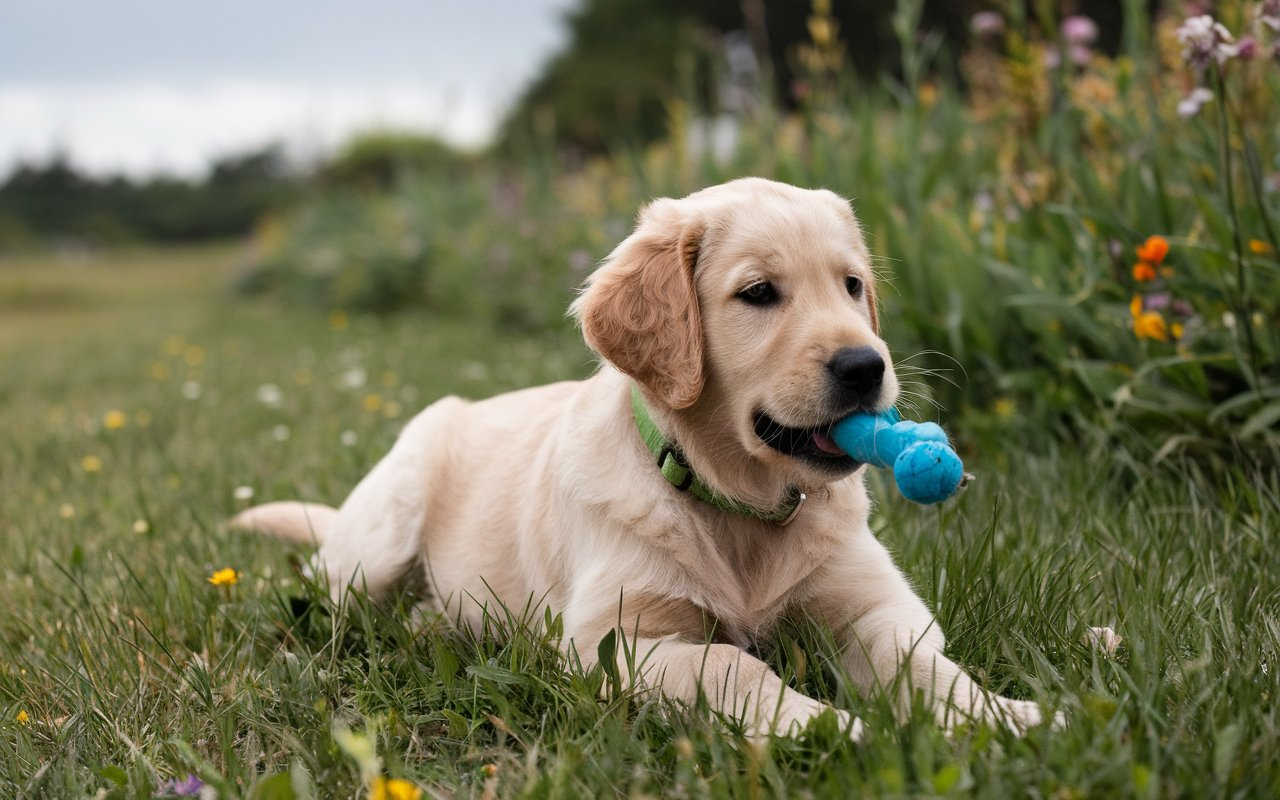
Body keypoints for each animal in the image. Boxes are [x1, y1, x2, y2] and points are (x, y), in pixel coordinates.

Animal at [238, 176, 1049, 737]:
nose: (865, 366)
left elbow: (921, 663)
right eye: (759, 293)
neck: (740, 505)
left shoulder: (874, 604)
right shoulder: (615, 639)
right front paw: (830, 726)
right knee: (324, 596)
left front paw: (1005, 718)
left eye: (852, 285)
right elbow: (733, 667)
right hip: (377, 540)